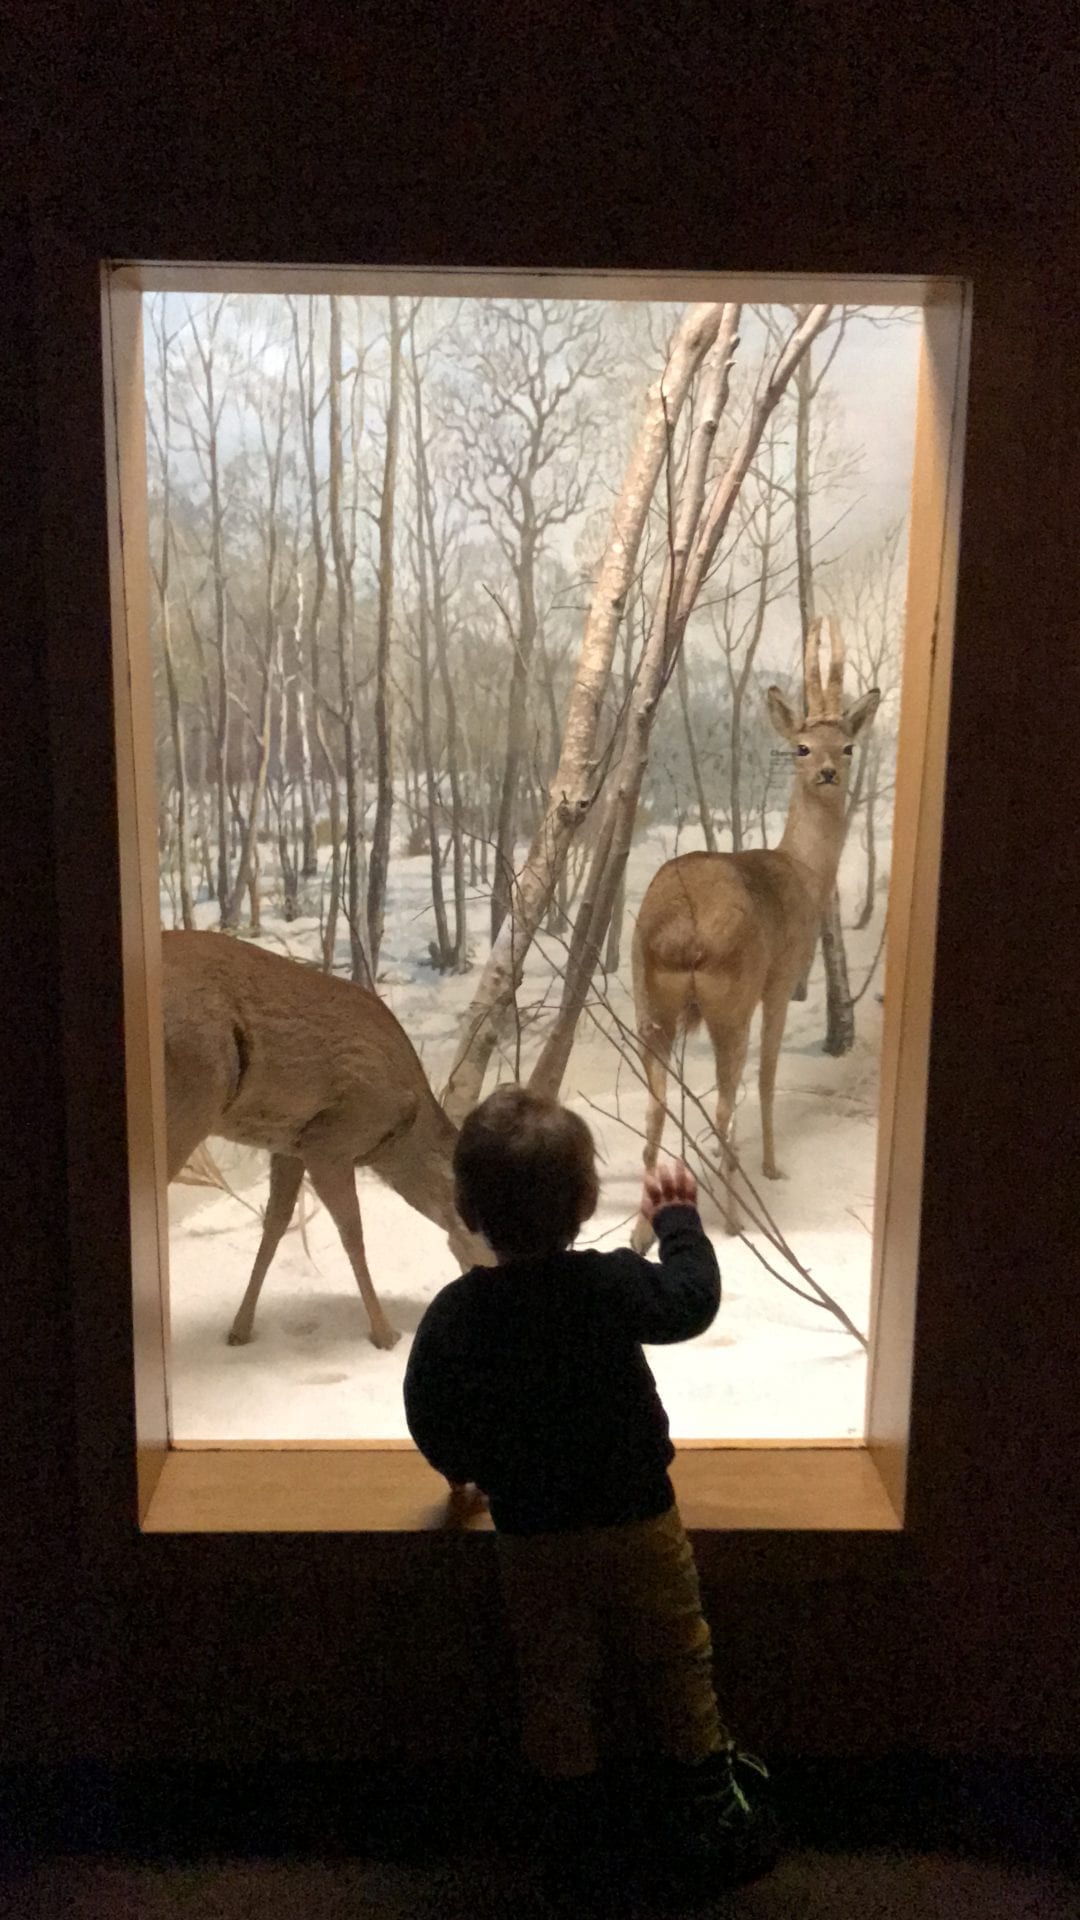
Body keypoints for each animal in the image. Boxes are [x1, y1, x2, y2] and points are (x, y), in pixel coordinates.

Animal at [163, 930, 487, 1350]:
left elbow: (275, 1223)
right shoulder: (330, 1143)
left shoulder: (289, 1144)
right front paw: (385, 1334)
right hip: (189, 1101)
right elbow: (353, 1233)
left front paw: (240, 1329)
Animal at [630, 616, 880, 1249]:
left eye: (848, 744)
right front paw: (772, 1164)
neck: (803, 875)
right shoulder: (782, 978)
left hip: (650, 1005)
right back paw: (737, 1218)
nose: (827, 772)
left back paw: (642, 1232)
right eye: (801, 745)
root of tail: (683, 931)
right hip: (729, 1004)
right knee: (725, 1102)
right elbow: (769, 1075)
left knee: (654, 1105)